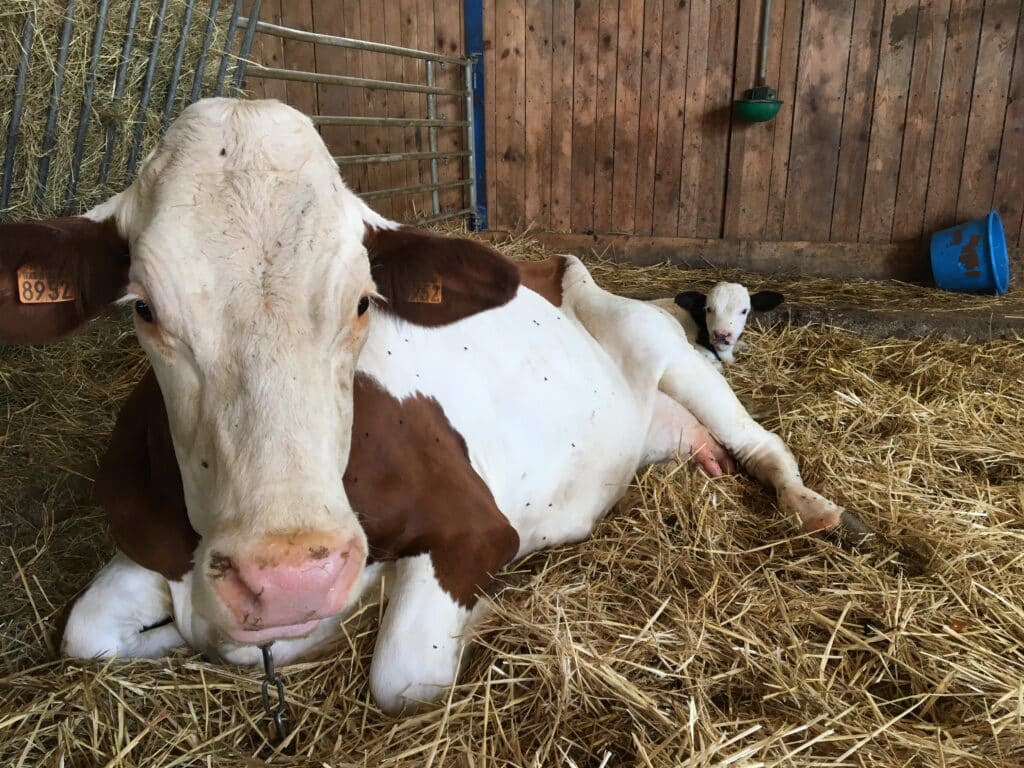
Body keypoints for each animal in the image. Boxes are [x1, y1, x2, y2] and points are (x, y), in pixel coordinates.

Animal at [0, 99, 867, 715]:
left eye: (361, 302)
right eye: (144, 309)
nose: (288, 580)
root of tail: (549, 264)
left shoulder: (476, 528)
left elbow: (404, 677)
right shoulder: (162, 551)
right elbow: (88, 631)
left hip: (669, 349)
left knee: (762, 443)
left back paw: (819, 509)